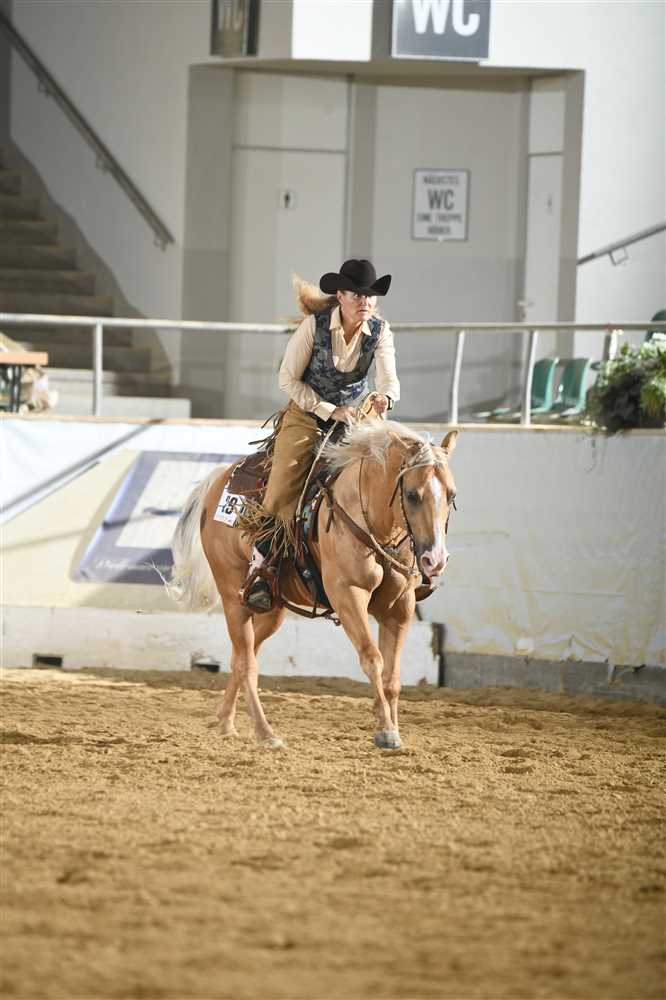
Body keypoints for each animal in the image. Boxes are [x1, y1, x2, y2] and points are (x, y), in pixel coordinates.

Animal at [167, 419, 458, 750]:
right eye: (411, 494)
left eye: (451, 495)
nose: (435, 560)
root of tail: (218, 481)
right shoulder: (348, 595)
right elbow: (373, 658)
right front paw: (385, 730)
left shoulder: (399, 608)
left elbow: (392, 677)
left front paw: (394, 729)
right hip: (232, 595)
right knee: (246, 663)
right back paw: (265, 733)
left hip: (272, 609)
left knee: (244, 654)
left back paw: (226, 721)